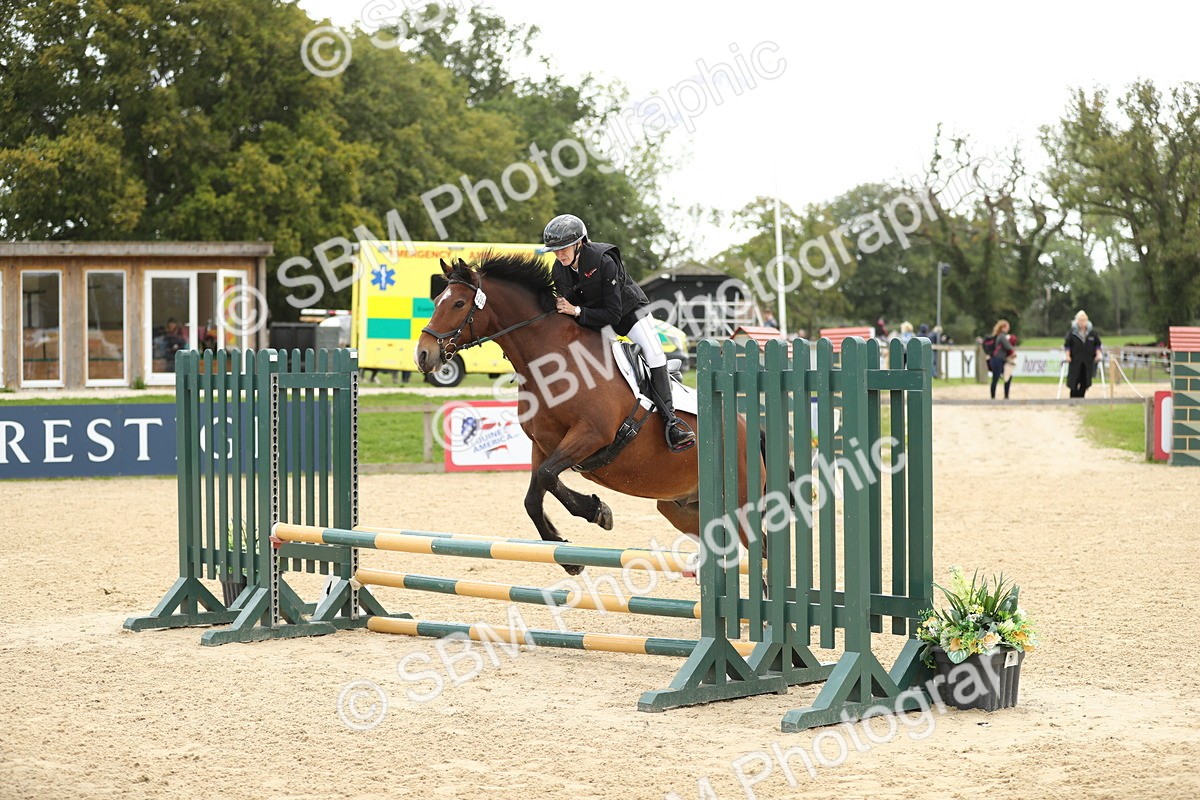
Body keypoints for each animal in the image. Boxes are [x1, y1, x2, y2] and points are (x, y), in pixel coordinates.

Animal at [414, 252, 758, 573]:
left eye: (458, 303)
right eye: (437, 301)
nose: (423, 355)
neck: (550, 360)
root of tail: (744, 425)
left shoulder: (591, 434)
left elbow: (548, 476)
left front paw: (598, 511)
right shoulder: (544, 444)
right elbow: (535, 495)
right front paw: (567, 555)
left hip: (739, 502)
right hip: (680, 505)